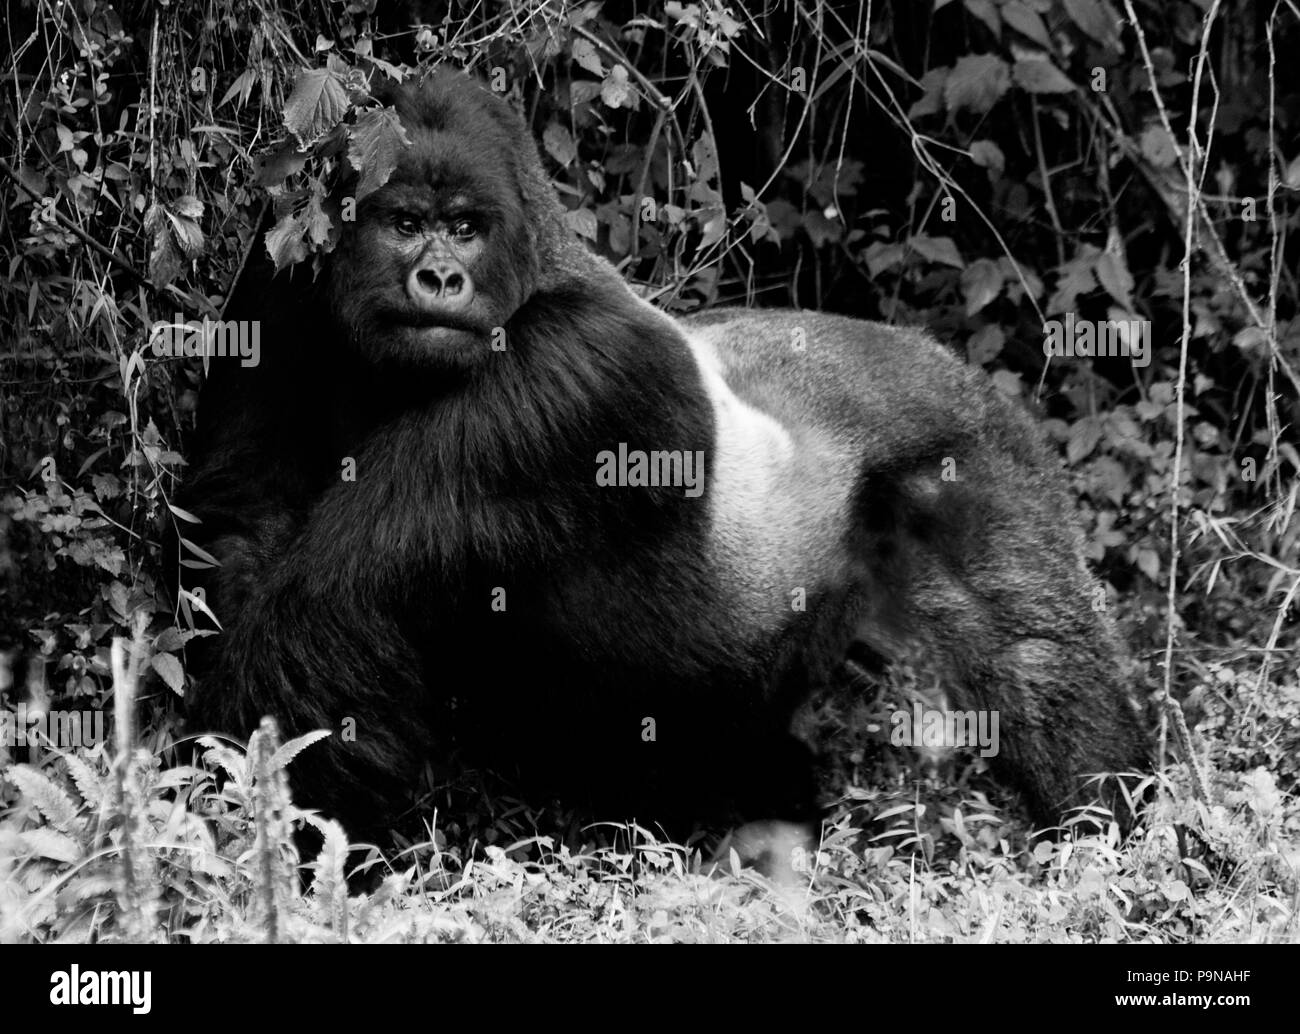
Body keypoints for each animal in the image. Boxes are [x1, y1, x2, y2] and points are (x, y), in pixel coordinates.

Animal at [185, 66, 1149, 842]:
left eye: (464, 228)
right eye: (404, 222)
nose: (440, 279)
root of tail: (952, 364)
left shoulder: (574, 375)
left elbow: (327, 614)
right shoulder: (283, 282)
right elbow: (240, 523)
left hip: (975, 453)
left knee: (1040, 664)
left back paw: (1104, 824)